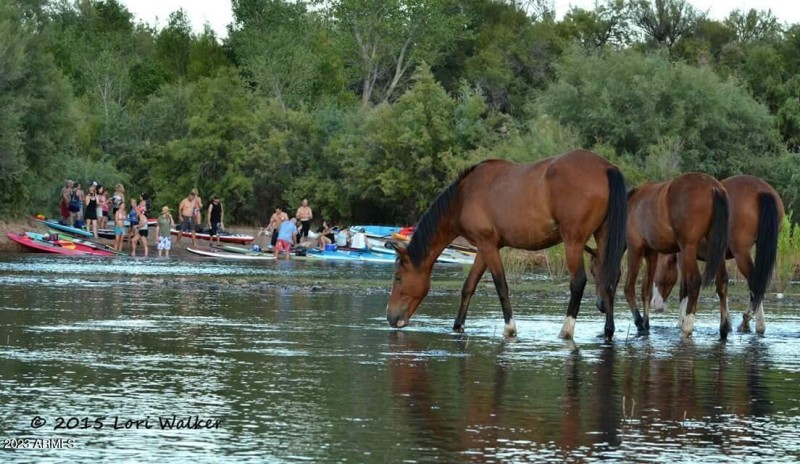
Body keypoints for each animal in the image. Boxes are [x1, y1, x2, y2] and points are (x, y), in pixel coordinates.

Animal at [385, 150, 628, 342]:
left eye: (398, 277)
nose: (390, 317)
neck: (464, 195)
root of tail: (606, 167)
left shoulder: (489, 246)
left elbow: (501, 286)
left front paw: (509, 329)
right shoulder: (484, 248)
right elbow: (468, 286)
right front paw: (458, 326)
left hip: (573, 242)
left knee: (578, 282)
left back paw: (565, 331)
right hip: (603, 238)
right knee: (610, 277)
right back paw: (608, 330)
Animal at [625, 173, 729, 338]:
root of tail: (714, 187)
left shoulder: (635, 248)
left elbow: (629, 287)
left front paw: (640, 322)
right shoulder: (652, 253)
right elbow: (646, 289)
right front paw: (646, 323)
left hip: (688, 248)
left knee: (694, 281)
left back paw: (687, 327)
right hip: (717, 247)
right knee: (722, 281)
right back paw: (724, 328)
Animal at [650, 175, 784, 335]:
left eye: (662, 268)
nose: (655, 303)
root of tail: (761, 190)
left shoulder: (684, 257)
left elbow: (685, 288)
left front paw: (681, 321)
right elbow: (722, 285)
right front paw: (727, 322)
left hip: (741, 252)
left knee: (754, 281)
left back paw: (754, 323)